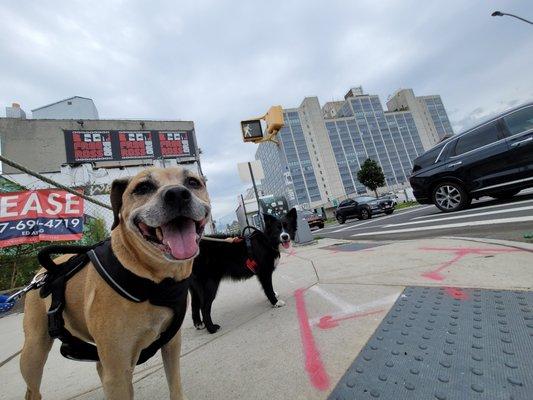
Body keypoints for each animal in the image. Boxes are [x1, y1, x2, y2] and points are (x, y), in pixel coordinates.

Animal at [19, 166, 210, 400]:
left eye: (192, 182)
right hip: (34, 350)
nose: (176, 194)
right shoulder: (117, 372)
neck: (154, 281)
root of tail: (40, 275)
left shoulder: (171, 347)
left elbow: (175, 387)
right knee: (32, 389)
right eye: (143, 187)